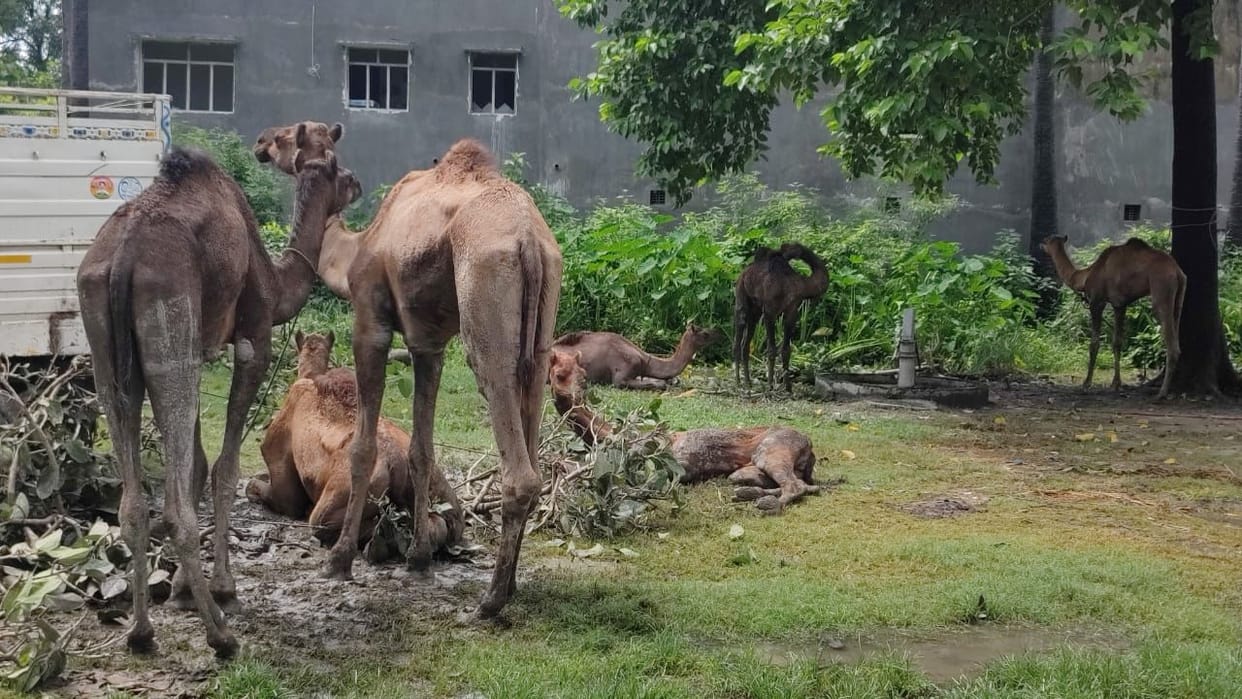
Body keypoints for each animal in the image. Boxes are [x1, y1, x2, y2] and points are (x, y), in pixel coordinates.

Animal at [76, 140, 360, 658]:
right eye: (336, 168)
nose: (358, 183)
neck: (275, 278)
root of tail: (123, 256)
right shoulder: (253, 341)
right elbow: (225, 470)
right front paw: (224, 589)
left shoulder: (203, 344)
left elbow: (197, 466)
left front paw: (183, 592)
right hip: (171, 321)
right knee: (172, 507)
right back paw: (221, 634)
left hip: (104, 344)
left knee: (133, 500)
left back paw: (141, 632)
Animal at [247, 331, 465, 554]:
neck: (309, 374)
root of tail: (398, 465)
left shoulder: (282, 478)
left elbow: (255, 486)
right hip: (446, 503)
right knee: (436, 525)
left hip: (333, 508)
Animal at [548, 350, 821, 512]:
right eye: (558, 374)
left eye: (584, 374)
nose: (575, 395)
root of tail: (810, 448)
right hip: (749, 468)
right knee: (799, 484)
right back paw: (747, 493)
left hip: (772, 449)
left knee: (796, 486)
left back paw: (766, 503)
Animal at [733, 242, 829, 392]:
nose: (778, 253)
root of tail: (743, 273)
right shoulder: (769, 311)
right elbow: (771, 349)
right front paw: (770, 385)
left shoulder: (792, 311)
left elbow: (786, 350)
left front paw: (788, 387)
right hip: (741, 296)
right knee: (739, 333)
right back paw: (738, 382)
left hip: (755, 312)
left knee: (746, 343)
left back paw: (748, 382)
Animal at [1040, 235, 1186, 398]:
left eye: (1047, 240)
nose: (1040, 244)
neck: (1086, 276)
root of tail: (1177, 271)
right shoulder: (1120, 305)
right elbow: (1117, 342)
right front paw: (1116, 384)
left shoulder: (1096, 302)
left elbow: (1094, 343)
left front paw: (1086, 384)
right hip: (1179, 297)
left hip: (1161, 289)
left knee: (1171, 343)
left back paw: (1162, 393)